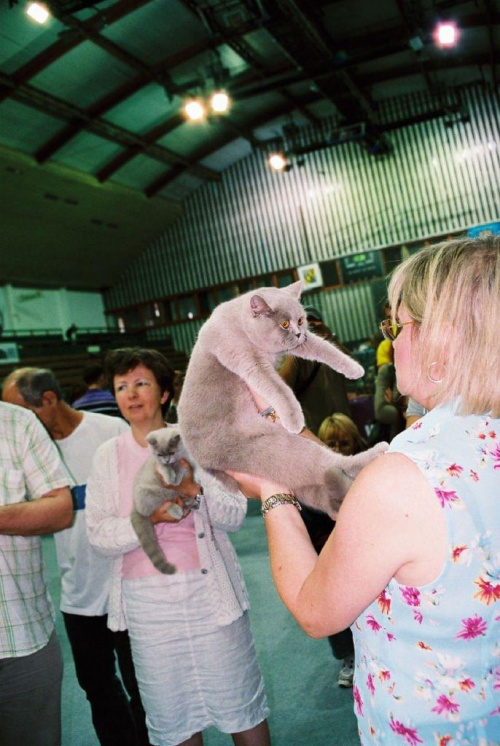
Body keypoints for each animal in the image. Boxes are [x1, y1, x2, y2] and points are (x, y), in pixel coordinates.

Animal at [133, 424, 203, 576]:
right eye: (160, 455)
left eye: (171, 452)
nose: (166, 459)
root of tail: (135, 506)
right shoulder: (159, 466)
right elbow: (170, 468)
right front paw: (173, 477)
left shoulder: (187, 459)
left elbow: (191, 467)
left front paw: (194, 477)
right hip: (152, 493)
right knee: (165, 503)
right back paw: (177, 510)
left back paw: (191, 504)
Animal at [178, 280, 388, 516]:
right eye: (285, 323)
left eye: (300, 320)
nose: (297, 333)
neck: (241, 325)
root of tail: (205, 465)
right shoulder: (250, 361)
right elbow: (278, 387)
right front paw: (294, 419)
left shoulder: (304, 343)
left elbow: (325, 348)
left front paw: (354, 368)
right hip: (274, 449)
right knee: (330, 464)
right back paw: (376, 452)